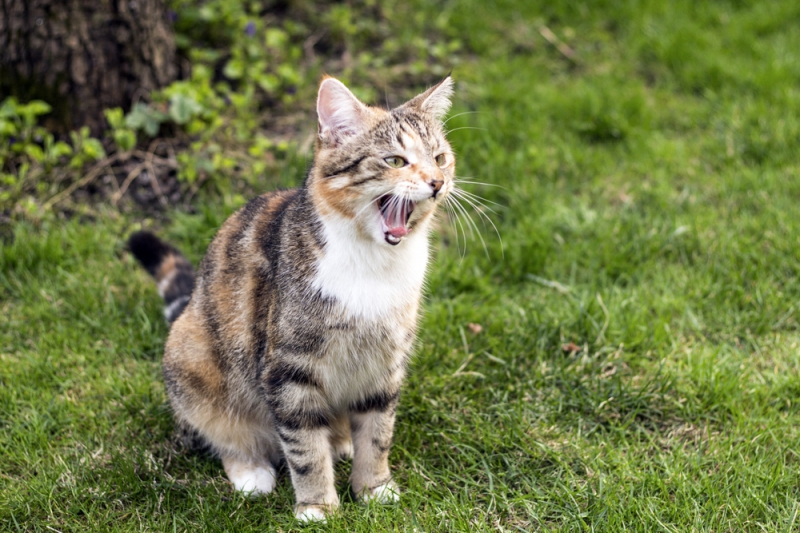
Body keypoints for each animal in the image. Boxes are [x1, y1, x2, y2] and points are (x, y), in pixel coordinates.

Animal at [130, 77, 456, 520]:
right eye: (394, 160)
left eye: (440, 158)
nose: (438, 182)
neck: (375, 264)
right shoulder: (289, 368)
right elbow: (304, 445)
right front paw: (318, 507)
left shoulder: (384, 362)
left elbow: (378, 431)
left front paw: (374, 487)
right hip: (191, 355)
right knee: (222, 432)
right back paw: (251, 470)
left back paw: (341, 440)